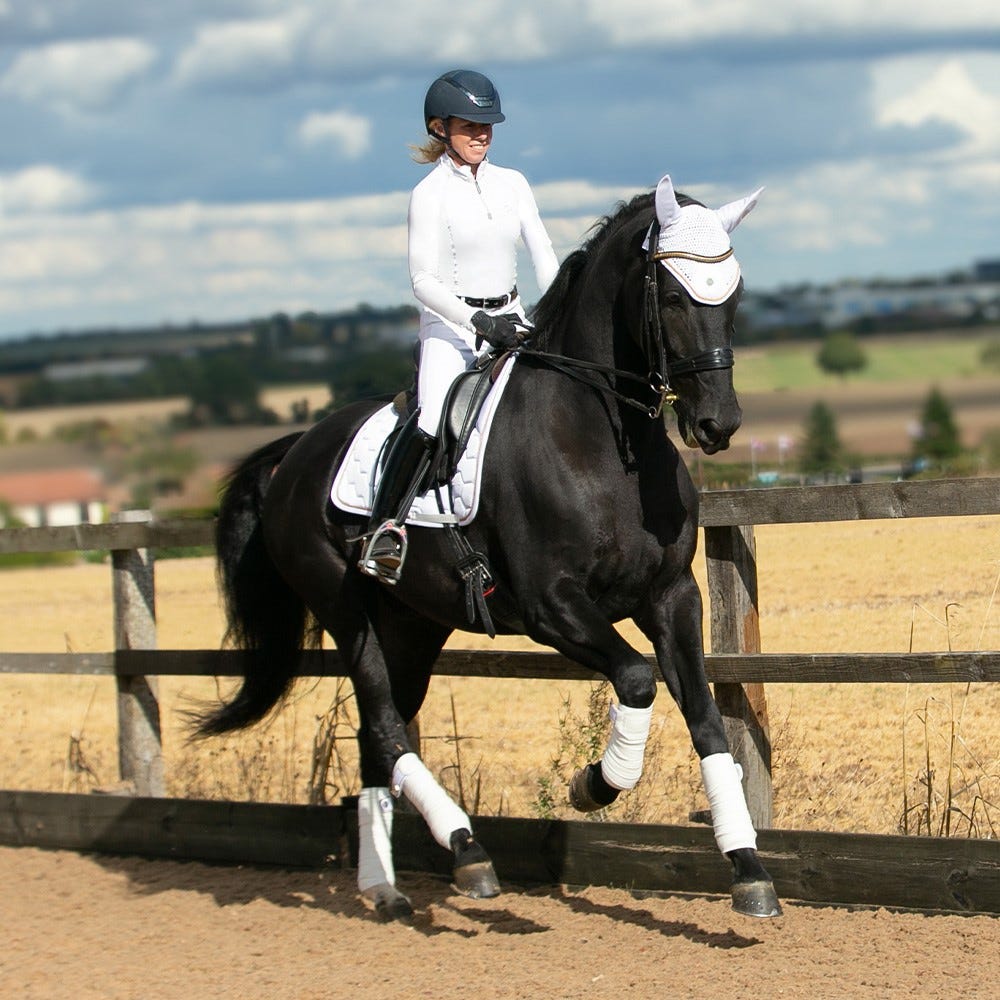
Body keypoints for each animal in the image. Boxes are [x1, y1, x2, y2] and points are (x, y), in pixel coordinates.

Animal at [199, 174, 784, 920]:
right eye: (675, 297)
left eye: (732, 296)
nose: (718, 424)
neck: (604, 440)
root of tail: (296, 453)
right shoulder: (551, 607)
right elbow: (635, 679)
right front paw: (595, 784)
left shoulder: (671, 596)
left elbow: (706, 718)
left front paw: (748, 869)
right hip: (344, 608)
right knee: (384, 723)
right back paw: (466, 850)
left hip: (411, 625)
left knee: (378, 730)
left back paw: (388, 884)